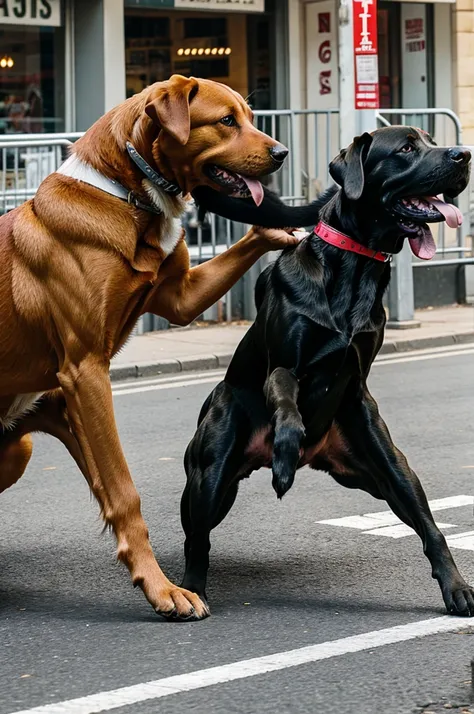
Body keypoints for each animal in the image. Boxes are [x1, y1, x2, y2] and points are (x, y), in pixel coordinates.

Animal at [0, 73, 296, 616]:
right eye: (227, 120)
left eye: (250, 115)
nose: (282, 152)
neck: (128, 196)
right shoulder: (86, 372)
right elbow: (124, 491)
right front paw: (163, 589)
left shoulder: (179, 298)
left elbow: (112, 492)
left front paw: (280, 230)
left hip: (23, 444)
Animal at [186, 125, 474, 616]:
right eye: (406, 148)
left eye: (431, 138)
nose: (464, 154)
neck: (355, 267)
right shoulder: (283, 364)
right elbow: (286, 397)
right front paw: (285, 450)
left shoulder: (358, 384)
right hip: (211, 474)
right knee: (197, 537)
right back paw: (189, 591)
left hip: (391, 471)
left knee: (430, 527)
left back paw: (457, 588)